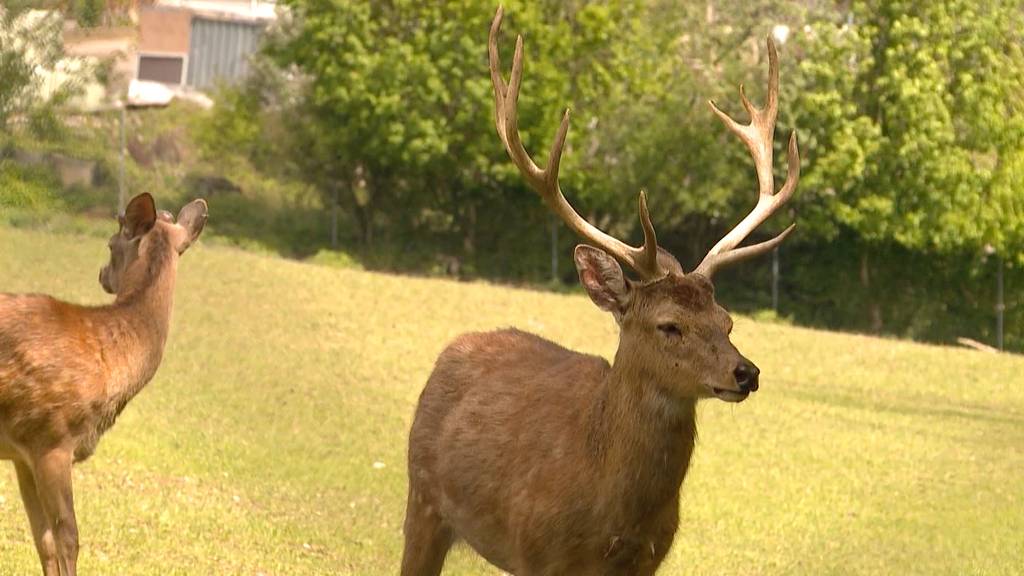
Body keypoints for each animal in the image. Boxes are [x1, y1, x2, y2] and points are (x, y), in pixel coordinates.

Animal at [0, 193, 207, 573]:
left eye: (110, 245)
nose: (101, 274)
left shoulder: (24, 453)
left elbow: (44, 541)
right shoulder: (50, 438)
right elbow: (68, 537)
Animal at [401, 7, 798, 573]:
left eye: (727, 321)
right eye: (669, 325)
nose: (746, 372)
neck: (610, 517)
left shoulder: (650, 558)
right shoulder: (535, 550)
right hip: (423, 495)